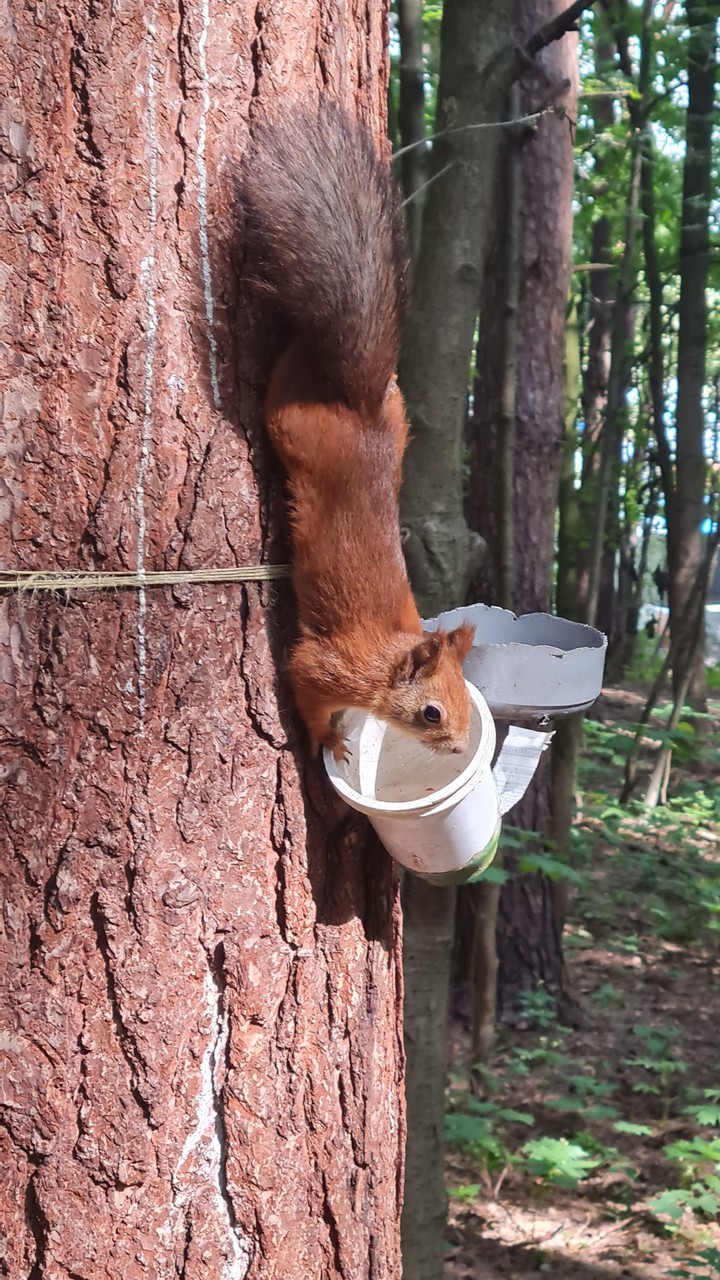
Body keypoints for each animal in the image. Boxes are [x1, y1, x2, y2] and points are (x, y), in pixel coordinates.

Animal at [242, 101, 473, 761]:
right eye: (430, 713)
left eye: (467, 697)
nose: (458, 749)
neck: (389, 655)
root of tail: (359, 401)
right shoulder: (327, 666)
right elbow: (304, 687)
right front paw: (331, 742)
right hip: (290, 419)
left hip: (397, 417)